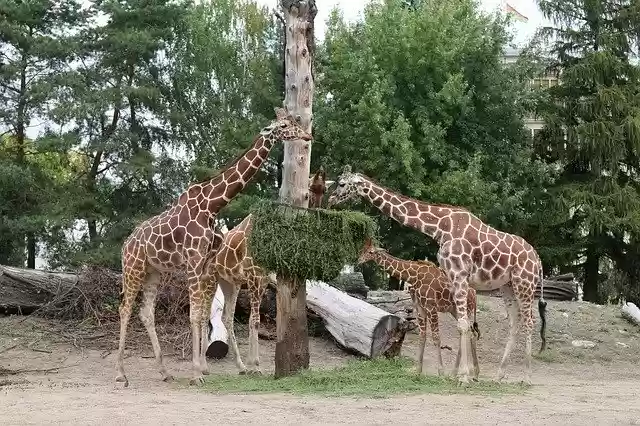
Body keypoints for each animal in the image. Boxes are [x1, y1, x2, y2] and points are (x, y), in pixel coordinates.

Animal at [115, 107, 312, 387]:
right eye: (284, 125)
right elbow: (195, 315)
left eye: (295, 121)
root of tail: (126, 244)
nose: (307, 136)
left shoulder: (205, 265)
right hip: (133, 268)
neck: (212, 205)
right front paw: (197, 373)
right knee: (125, 308)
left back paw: (164, 372)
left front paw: (200, 369)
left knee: (146, 312)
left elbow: (200, 314)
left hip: (155, 271)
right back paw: (121, 374)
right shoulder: (194, 262)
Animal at [357, 238, 480, 378]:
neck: (414, 276)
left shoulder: (431, 307)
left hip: (467, 309)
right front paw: (418, 370)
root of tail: (474, 293)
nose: (359, 260)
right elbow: (422, 337)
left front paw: (441, 372)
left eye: (371, 252)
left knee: (469, 332)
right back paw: (464, 373)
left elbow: (436, 338)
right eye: (362, 250)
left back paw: (466, 373)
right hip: (455, 310)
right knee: (468, 332)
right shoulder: (420, 308)